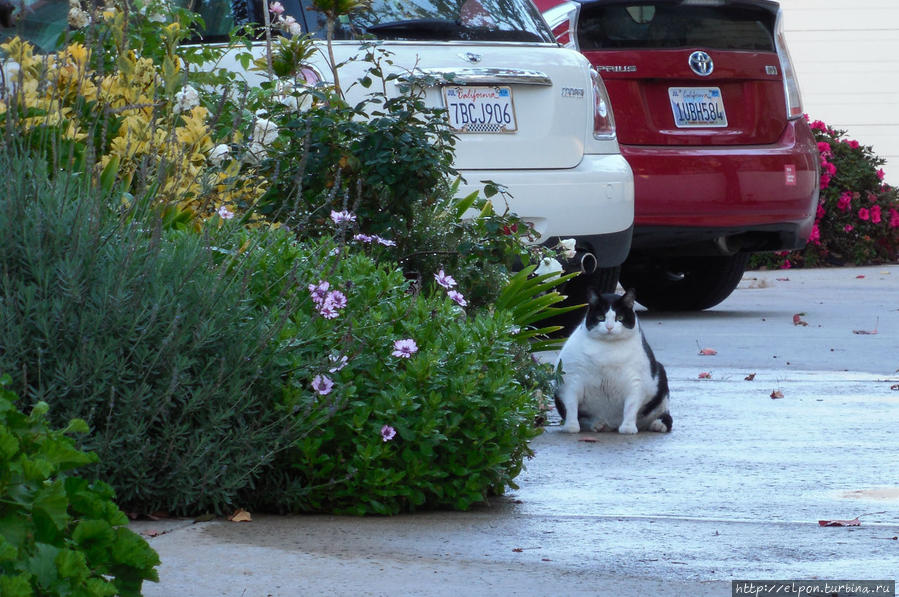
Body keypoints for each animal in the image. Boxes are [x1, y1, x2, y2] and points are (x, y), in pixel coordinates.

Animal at [556, 288, 676, 434]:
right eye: (600, 317)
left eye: (620, 318)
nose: (609, 327)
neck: (607, 351)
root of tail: (612, 424)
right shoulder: (572, 379)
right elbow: (571, 404)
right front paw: (571, 426)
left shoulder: (635, 381)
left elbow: (631, 405)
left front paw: (628, 428)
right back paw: (597, 424)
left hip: (661, 378)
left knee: (665, 415)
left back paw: (658, 424)